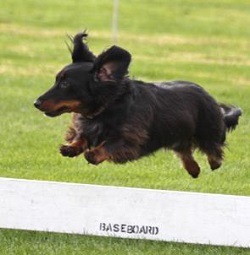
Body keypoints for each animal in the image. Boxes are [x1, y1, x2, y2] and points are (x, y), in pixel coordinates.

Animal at [34, 31, 241, 178]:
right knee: (186, 152)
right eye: (57, 80)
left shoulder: (130, 139)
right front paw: (70, 147)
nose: (36, 103)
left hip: (207, 131)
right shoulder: (87, 127)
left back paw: (213, 162)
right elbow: (81, 137)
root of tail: (209, 97)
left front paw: (92, 154)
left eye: (65, 84)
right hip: (177, 136)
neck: (108, 107)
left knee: (214, 149)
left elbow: (109, 146)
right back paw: (193, 169)